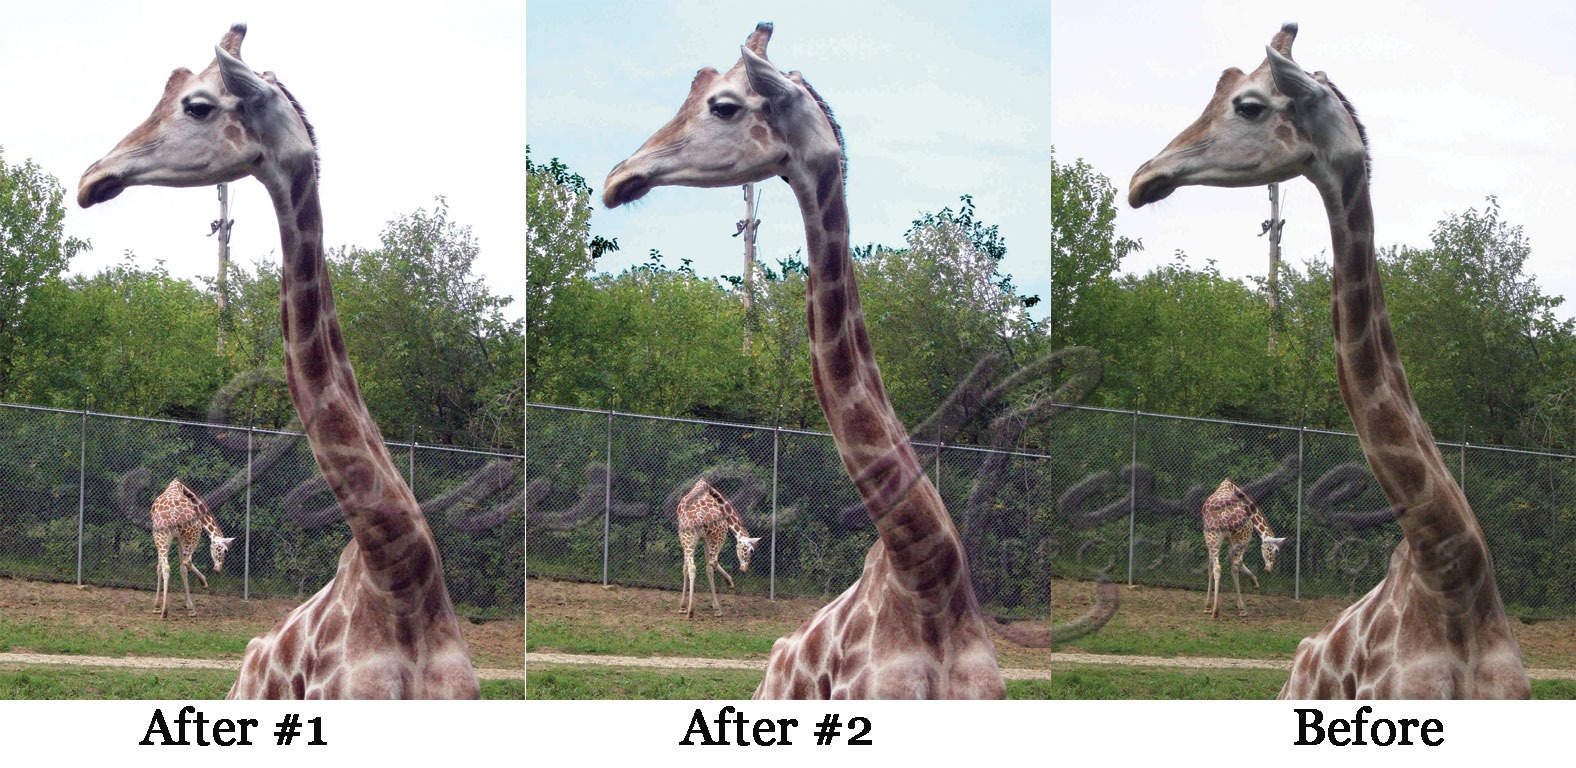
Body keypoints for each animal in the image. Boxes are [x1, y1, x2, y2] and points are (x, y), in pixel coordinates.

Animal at [149, 479, 234, 618]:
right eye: (225, 551)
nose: (217, 569)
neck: (181, 487)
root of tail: (173, 516)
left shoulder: (171, 539)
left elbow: (160, 567)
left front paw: (156, 607)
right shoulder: (181, 539)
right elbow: (183, 567)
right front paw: (192, 603)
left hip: (161, 537)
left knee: (166, 566)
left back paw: (164, 611)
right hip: (193, 534)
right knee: (186, 561)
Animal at [675, 479, 761, 618]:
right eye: (751, 550)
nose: (744, 569)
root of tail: (697, 518)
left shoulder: (696, 539)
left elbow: (685, 568)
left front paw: (682, 607)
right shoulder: (708, 538)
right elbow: (710, 567)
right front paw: (719, 603)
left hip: (687, 538)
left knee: (692, 567)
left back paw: (689, 610)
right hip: (719, 535)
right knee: (712, 561)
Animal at [1200, 479, 1285, 618]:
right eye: (1276, 551)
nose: (1268, 569)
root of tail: (1224, 515)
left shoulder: (1222, 541)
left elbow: (1211, 567)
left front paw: (1207, 606)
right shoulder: (1235, 540)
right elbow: (1235, 566)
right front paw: (1254, 584)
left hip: (1213, 538)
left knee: (1217, 567)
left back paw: (1214, 610)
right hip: (1243, 537)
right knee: (1236, 562)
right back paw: (1243, 606)